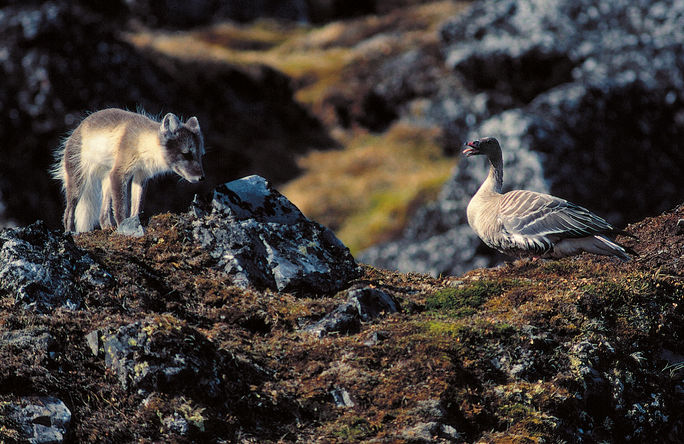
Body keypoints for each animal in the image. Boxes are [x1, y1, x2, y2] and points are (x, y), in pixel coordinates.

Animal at [52, 108, 205, 232]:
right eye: (187, 154)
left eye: (200, 155)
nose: (202, 178)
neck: (143, 143)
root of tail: (77, 129)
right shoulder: (119, 173)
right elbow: (121, 208)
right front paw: (123, 227)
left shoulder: (141, 176)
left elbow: (137, 206)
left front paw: (135, 224)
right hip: (78, 182)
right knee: (69, 211)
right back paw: (70, 232)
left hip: (107, 182)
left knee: (103, 214)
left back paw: (107, 228)